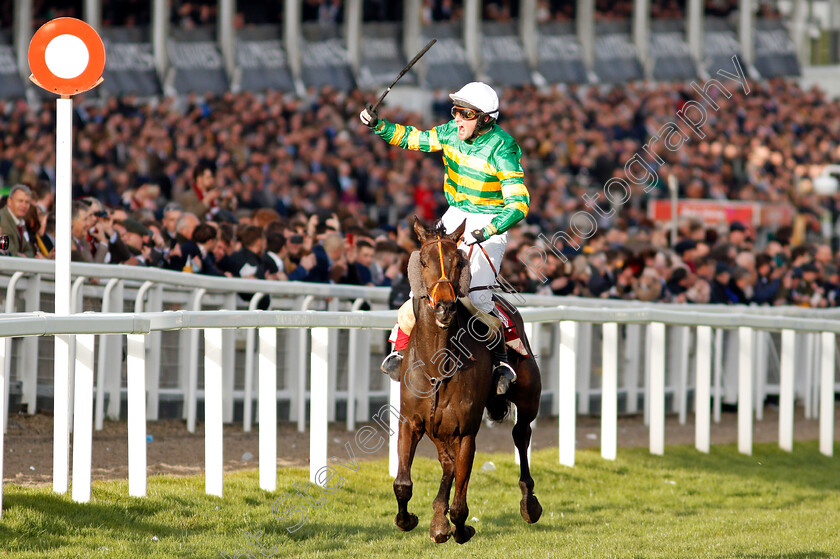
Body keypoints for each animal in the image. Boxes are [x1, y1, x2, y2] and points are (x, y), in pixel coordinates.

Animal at [394, 217, 544, 544]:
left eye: (459, 263)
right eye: (422, 261)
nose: (444, 306)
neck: (438, 364)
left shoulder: (465, 432)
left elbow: (460, 504)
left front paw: (461, 530)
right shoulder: (412, 422)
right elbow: (402, 483)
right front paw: (409, 519)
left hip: (528, 398)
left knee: (521, 434)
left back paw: (529, 504)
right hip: (438, 427)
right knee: (447, 462)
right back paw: (438, 518)